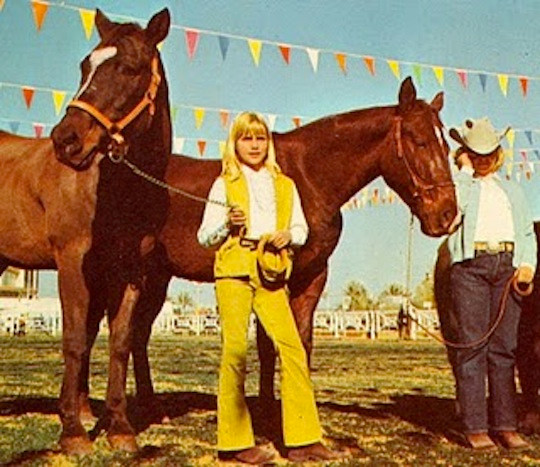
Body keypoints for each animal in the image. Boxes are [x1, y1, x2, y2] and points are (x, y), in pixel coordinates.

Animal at [0, 7, 171, 454]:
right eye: (85, 66)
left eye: (129, 68)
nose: (66, 140)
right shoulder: (72, 261)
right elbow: (76, 341)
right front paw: (74, 431)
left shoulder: (129, 271)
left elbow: (119, 341)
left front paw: (119, 427)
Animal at [80, 77, 458, 424]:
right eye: (420, 141)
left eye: (447, 147)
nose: (448, 216)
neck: (311, 177)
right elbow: (267, 345)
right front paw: (265, 409)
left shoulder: (312, 276)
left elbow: (300, 342)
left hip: (157, 278)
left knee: (137, 335)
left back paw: (151, 408)